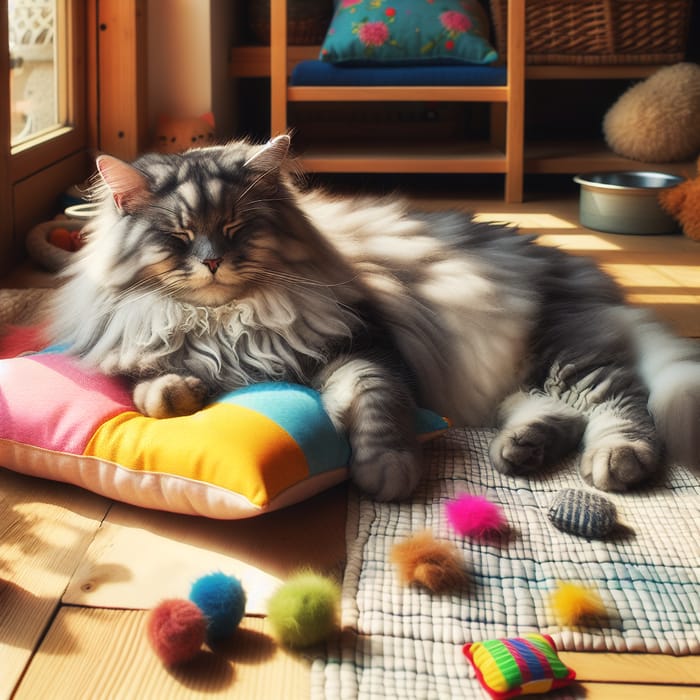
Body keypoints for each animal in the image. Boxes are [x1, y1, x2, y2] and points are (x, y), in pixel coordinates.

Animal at [50, 135, 700, 498]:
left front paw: (387, 470)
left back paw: (616, 460)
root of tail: (580, 273)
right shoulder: (140, 348)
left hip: (561, 353)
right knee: (559, 412)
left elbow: (377, 403)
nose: (211, 262)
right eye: (180, 236)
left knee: (623, 405)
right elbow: (151, 386)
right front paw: (178, 390)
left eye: (235, 227)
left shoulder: (364, 346)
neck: (228, 324)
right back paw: (521, 450)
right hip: (518, 379)